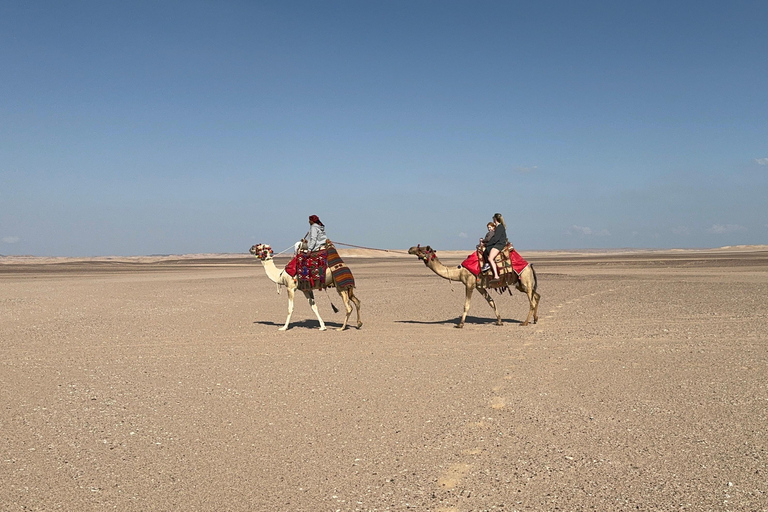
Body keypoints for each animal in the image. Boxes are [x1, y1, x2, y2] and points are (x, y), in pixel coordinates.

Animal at [408, 245, 540, 328]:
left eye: (423, 249)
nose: (410, 249)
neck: (460, 271)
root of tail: (530, 266)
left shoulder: (469, 284)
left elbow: (466, 305)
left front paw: (460, 324)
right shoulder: (479, 286)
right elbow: (491, 302)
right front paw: (499, 321)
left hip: (525, 280)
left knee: (532, 301)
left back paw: (525, 322)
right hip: (521, 284)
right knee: (536, 296)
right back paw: (535, 319)